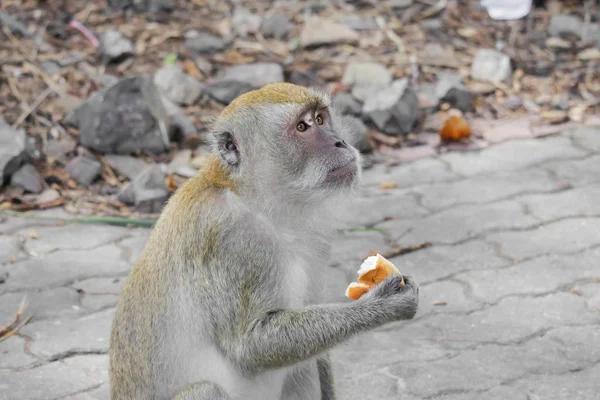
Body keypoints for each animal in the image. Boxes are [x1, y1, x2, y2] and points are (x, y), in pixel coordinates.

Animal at [109, 82, 418, 400]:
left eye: (320, 119)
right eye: (302, 127)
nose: (340, 142)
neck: (258, 201)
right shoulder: (232, 237)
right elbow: (250, 345)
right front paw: (381, 304)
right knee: (207, 389)